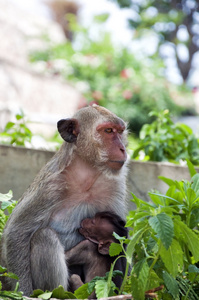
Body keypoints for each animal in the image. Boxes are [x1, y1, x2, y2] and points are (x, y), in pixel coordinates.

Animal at [0, 103, 128, 296]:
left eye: (120, 131)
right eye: (108, 130)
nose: (122, 149)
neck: (86, 176)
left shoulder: (115, 185)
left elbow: (120, 240)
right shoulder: (49, 187)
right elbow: (17, 232)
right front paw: (23, 292)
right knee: (45, 236)